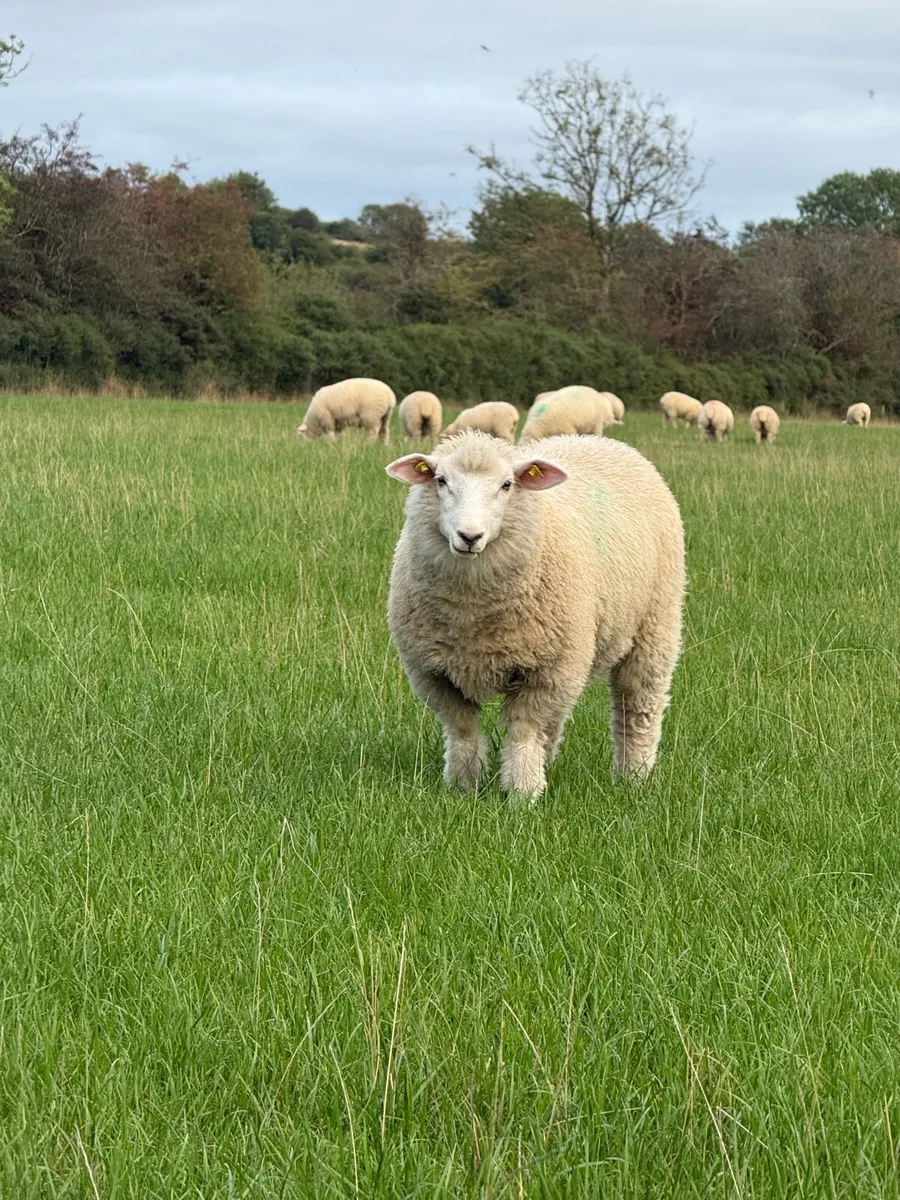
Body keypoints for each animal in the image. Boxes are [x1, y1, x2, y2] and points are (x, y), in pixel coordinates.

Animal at [385, 430, 686, 799]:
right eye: (441, 481)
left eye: (507, 485)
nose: (469, 536)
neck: (471, 611)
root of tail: (596, 439)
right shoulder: (433, 672)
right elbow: (463, 729)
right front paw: (463, 787)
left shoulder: (546, 671)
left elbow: (523, 730)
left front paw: (523, 793)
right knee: (557, 718)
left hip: (654, 625)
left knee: (638, 706)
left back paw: (634, 776)